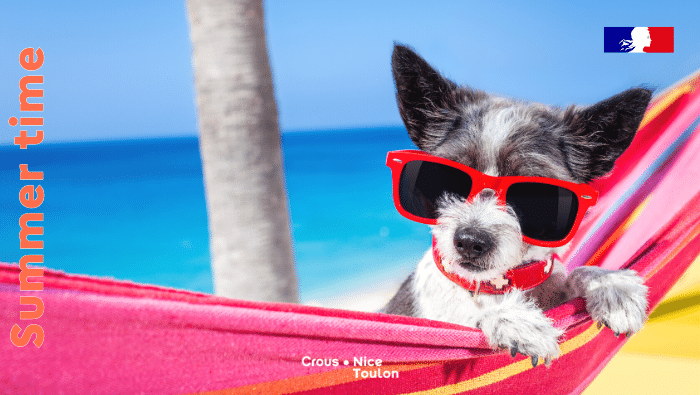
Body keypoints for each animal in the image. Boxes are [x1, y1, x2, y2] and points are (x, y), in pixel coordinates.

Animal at [382, 44, 652, 368]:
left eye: (536, 195)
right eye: (446, 177)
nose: (470, 241)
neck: (494, 285)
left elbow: (575, 272)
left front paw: (610, 285)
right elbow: (456, 320)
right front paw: (510, 318)